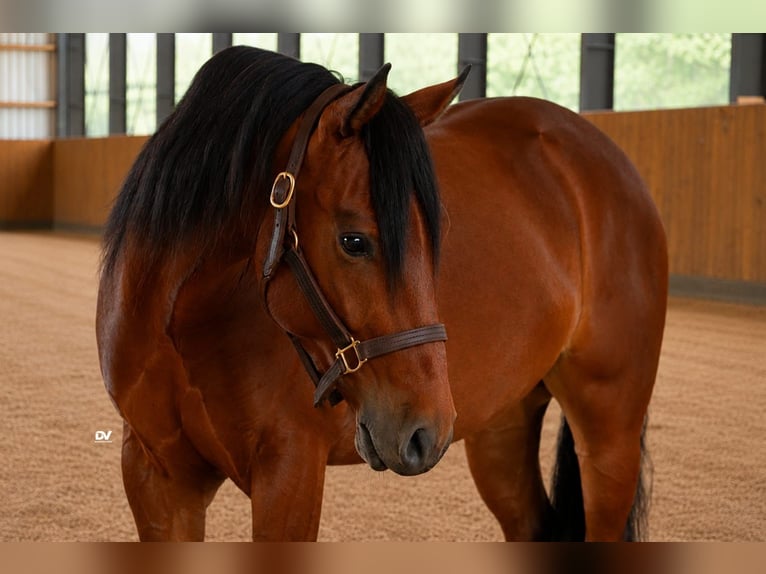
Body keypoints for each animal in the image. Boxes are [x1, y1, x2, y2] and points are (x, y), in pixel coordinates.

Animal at [96, 46, 667, 542]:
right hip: (501, 427)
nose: (425, 431)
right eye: (355, 241)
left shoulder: (290, 474)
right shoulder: (156, 479)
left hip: (609, 429)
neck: (183, 324)